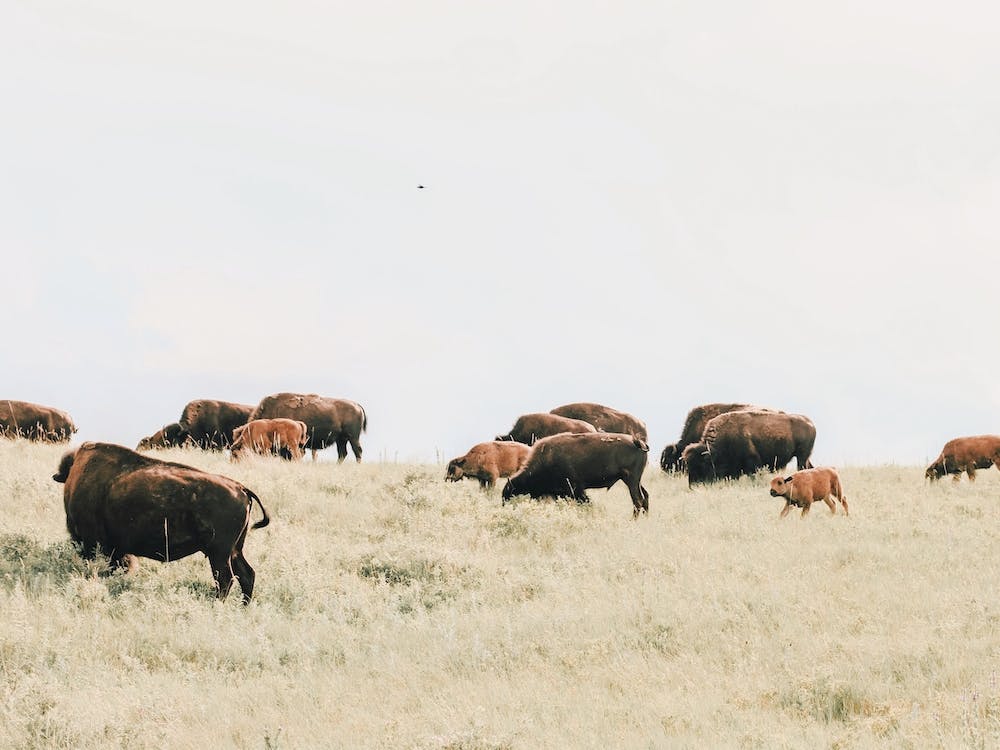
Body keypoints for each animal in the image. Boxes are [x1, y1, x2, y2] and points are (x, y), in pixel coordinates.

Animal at [502, 432, 650, 517]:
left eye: (508, 496)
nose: (504, 507)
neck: (547, 458)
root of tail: (638, 443)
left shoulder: (576, 490)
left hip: (631, 480)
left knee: (638, 500)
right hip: (635, 480)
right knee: (645, 496)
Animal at [683, 410, 815, 486]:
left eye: (701, 465)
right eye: (688, 466)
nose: (692, 485)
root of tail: (810, 423)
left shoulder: (752, 462)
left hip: (801, 457)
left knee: (802, 468)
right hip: (805, 457)